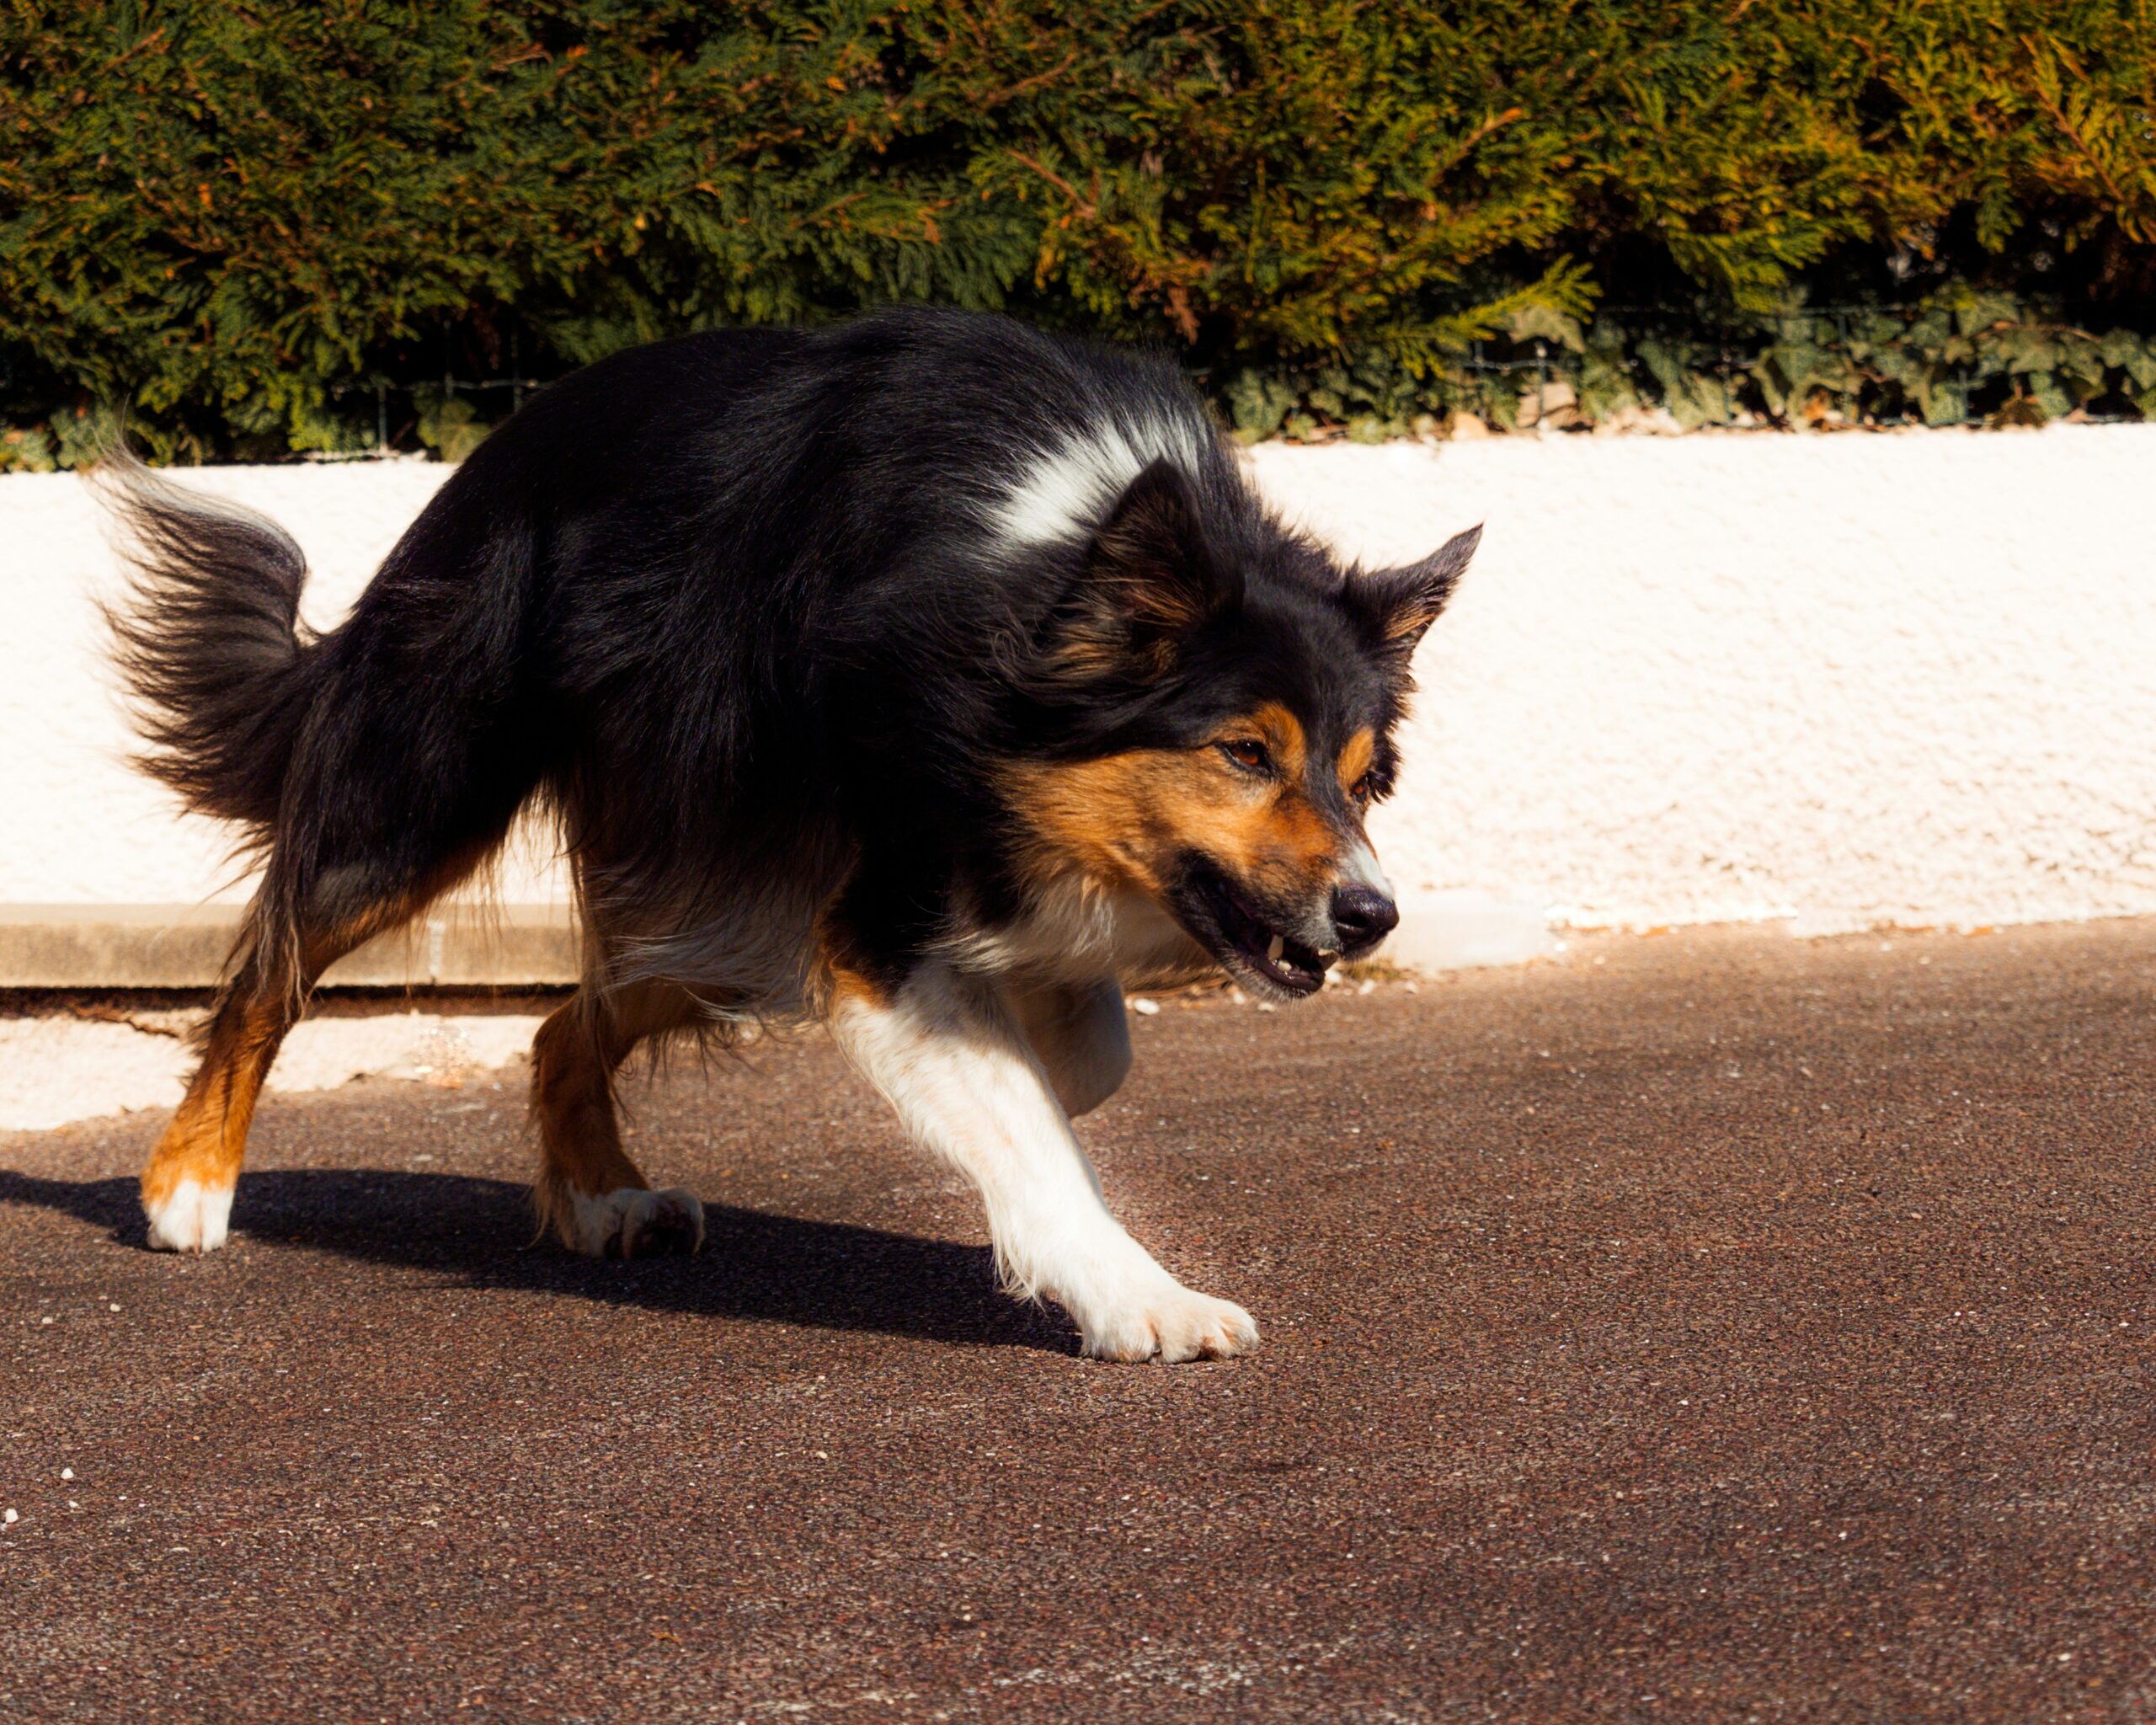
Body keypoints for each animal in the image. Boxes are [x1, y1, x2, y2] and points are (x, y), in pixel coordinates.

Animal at [101, 306, 1483, 1362]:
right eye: (1245, 754)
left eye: (1365, 779)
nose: (1371, 916)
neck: (1035, 588)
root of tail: (492, 452)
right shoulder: (880, 912)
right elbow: (1032, 1124)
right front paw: (1142, 1299)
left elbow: (1086, 1056)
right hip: (436, 786)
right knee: (272, 966)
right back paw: (189, 1185)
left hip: (729, 890)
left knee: (562, 1023)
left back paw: (600, 1195)